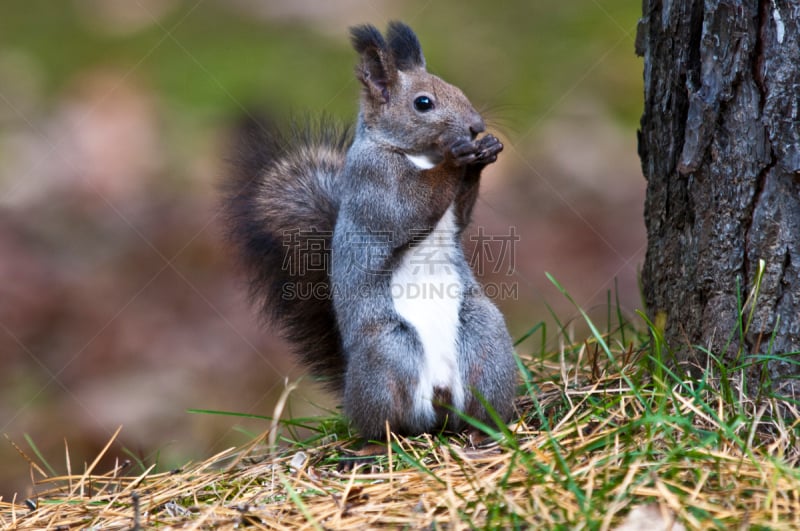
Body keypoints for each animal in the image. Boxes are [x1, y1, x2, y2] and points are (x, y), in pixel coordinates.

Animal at [222, 21, 516, 440]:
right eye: (423, 103)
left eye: (455, 87)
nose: (477, 126)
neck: (418, 156)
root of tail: (439, 404)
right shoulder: (373, 183)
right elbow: (406, 210)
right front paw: (457, 157)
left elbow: (459, 216)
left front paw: (482, 153)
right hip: (386, 353)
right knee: (387, 423)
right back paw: (373, 443)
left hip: (484, 340)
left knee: (477, 403)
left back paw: (486, 431)